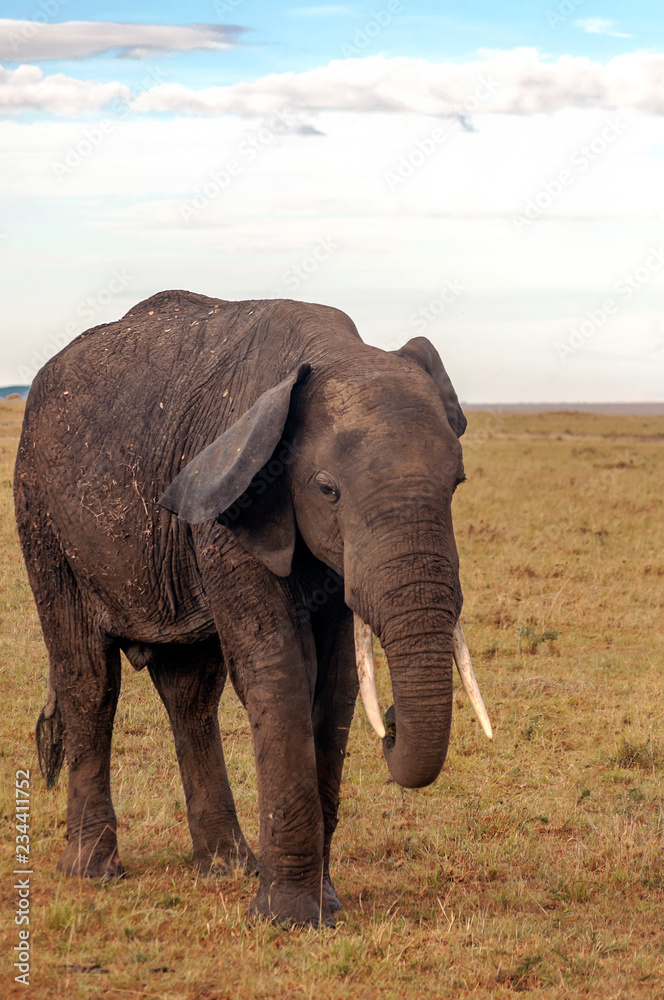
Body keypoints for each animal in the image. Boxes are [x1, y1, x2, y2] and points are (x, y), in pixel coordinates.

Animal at [14, 289, 491, 926]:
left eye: (457, 482)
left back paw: (226, 866)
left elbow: (335, 684)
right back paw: (94, 871)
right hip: (40, 512)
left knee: (190, 691)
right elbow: (278, 671)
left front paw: (323, 906)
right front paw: (288, 919)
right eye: (327, 490)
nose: (391, 723)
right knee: (88, 677)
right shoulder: (234, 505)